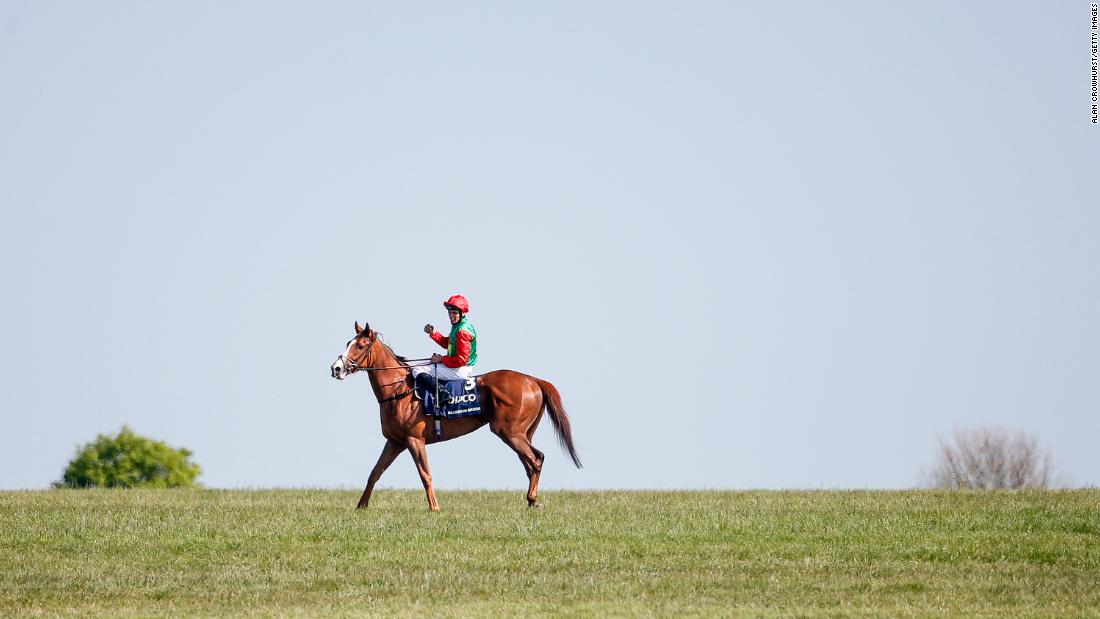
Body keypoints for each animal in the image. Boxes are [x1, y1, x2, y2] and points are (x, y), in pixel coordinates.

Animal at [327, 323, 580, 510]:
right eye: (348, 343)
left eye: (360, 346)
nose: (336, 368)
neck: (398, 391)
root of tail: (534, 380)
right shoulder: (395, 441)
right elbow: (374, 473)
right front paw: (361, 506)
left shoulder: (414, 440)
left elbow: (425, 474)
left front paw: (434, 508)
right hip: (523, 433)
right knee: (530, 462)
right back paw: (531, 500)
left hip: (510, 432)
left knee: (536, 459)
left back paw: (532, 499)